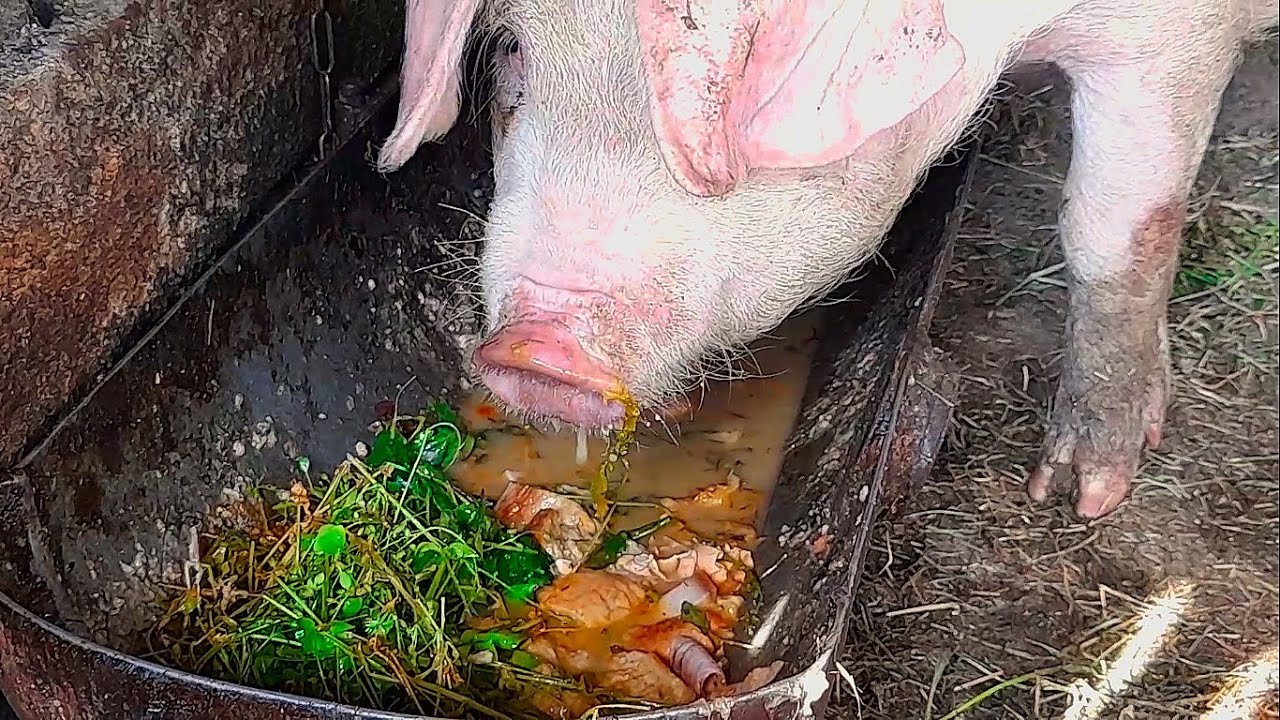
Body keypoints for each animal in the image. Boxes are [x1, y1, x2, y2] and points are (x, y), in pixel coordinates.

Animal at [375, 0, 1279, 519]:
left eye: (742, 89)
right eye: (515, 53)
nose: (537, 348)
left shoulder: (1171, 39)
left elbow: (1115, 231)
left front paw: (1079, 497)